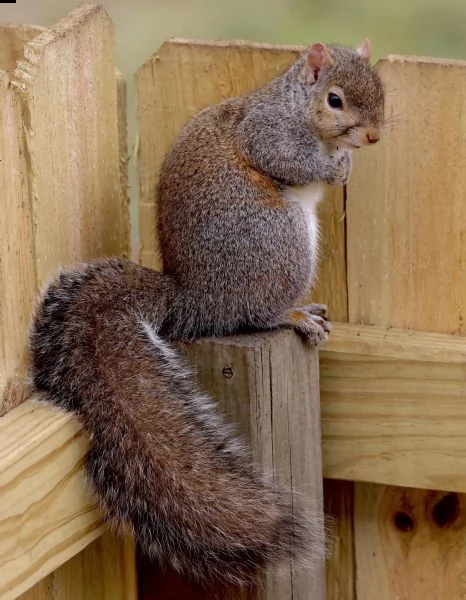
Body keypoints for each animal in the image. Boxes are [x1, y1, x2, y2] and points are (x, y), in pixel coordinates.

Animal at [30, 38, 386, 584]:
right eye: (335, 100)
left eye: (381, 92)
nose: (371, 136)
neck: (294, 107)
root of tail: (194, 302)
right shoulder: (268, 134)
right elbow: (290, 161)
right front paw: (335, 168)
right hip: (279, 241)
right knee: (253, 313)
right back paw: (293, 316)